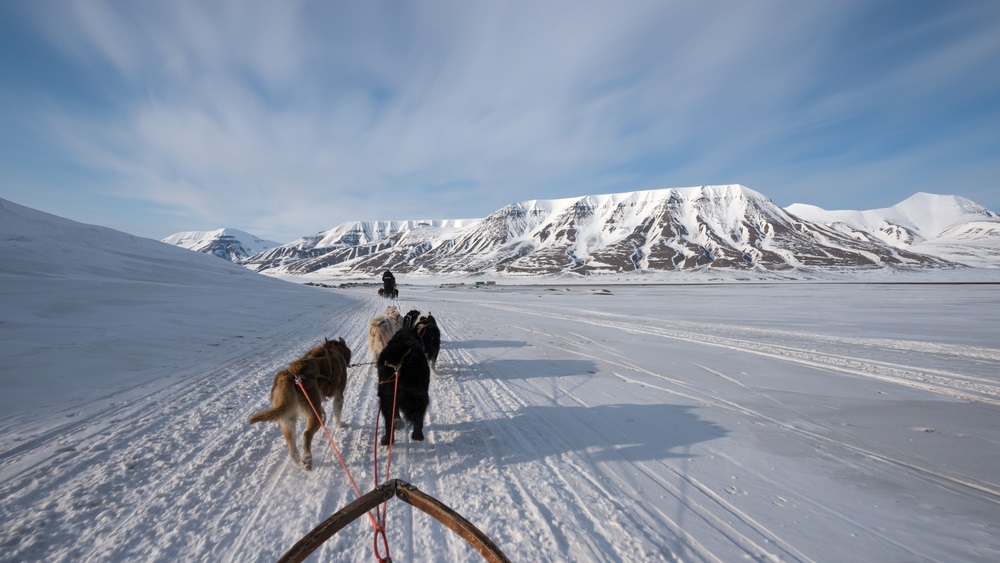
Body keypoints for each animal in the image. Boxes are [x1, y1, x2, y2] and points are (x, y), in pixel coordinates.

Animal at [249, 340, 352, 472]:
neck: (332, 349)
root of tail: (291, 375)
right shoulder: (339, 395)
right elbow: (337, 413)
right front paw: (339, 425)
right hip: (312, 415)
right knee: (306, 434)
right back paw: (307, 458)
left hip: (288, 421)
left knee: (291, 444)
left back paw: (298, 460)